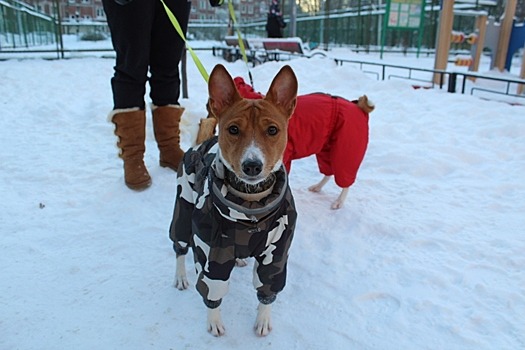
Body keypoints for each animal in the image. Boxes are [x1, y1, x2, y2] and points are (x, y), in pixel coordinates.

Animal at [169, 65, 296, 336]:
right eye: (234, 129)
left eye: (272, 130)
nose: (252, 165)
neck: (251, 208)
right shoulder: (211, 252)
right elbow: (212, 290)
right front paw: (214, 321)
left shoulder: (277, 252)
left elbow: (268, 287)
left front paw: (262, 319)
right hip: (183, 206)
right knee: (180, 246)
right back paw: (181, 276)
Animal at [195, 76, 372, 209]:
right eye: (233, 129)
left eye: (272, 130)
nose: (205, 122)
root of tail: (360, 107)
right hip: (326, 149)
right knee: (328, 172)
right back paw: (317, 187)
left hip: (346, 150)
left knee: (345, 180)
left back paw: (339, 202)